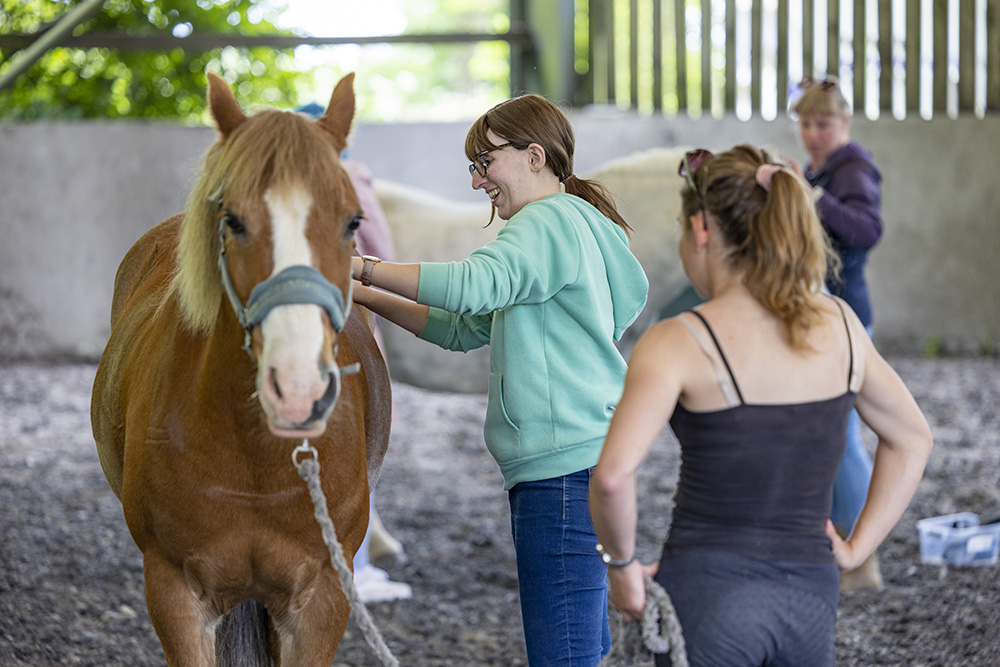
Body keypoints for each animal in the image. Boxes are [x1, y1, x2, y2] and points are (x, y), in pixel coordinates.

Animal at [91, 70, 390, 664]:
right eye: (233, 220)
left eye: (353, 221)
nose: (297, 387)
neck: (257, 460)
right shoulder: (175, 595)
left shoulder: (322, 599)